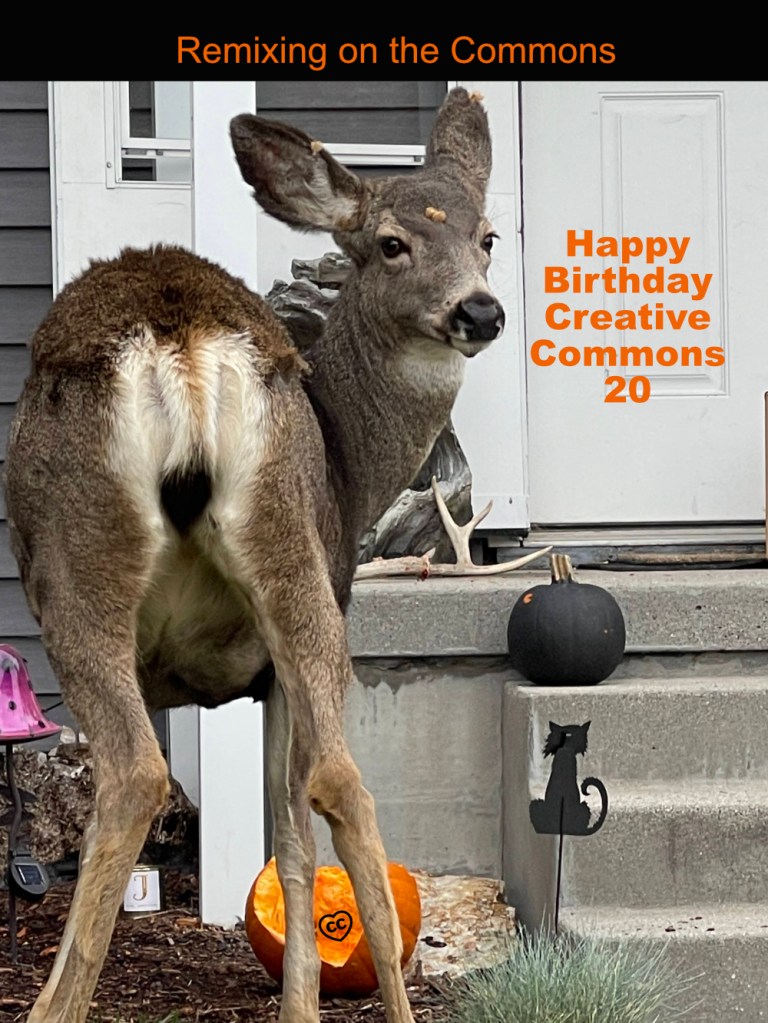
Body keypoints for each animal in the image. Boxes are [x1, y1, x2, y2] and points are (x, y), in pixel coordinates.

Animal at [3, 87, 504, 1023]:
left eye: (487, 235)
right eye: (392, 243)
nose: (480, 311)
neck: (350, 460)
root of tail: (183, 343)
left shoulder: (257, 670)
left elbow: (287, 836)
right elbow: (292, 833)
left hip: (90, 560)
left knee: (144, 775)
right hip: (291, 556)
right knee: (336, 778)